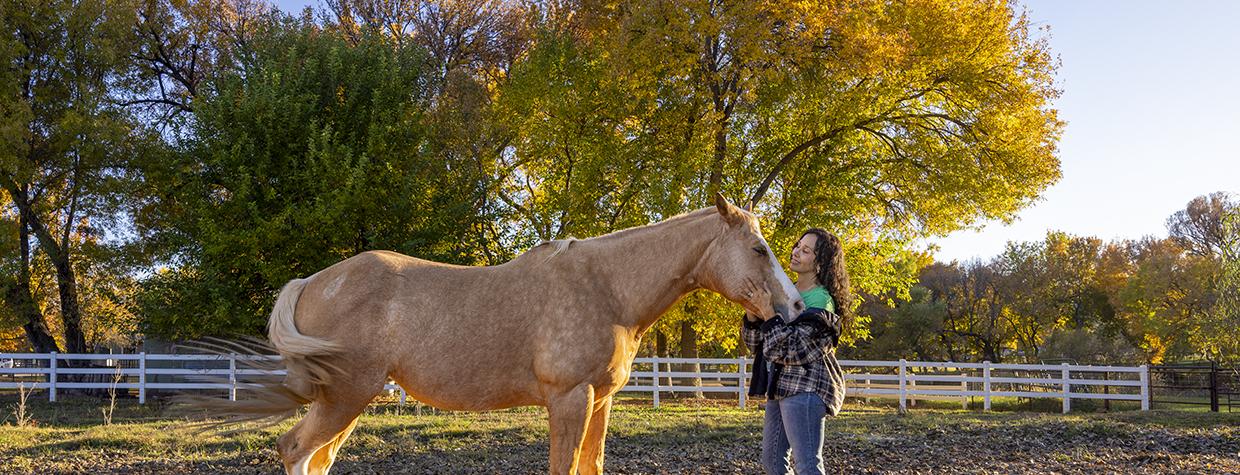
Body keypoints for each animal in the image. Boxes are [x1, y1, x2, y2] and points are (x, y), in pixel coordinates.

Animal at [222, 194, 804, 474]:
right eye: (758, 249)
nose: (797, 306)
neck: (606, 288)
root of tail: (312, 282)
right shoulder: (570, 400)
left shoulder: (600, 402)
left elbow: (590, 466)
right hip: (344, 396)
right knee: (296, 451)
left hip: (350, 399)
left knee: (316, 458)